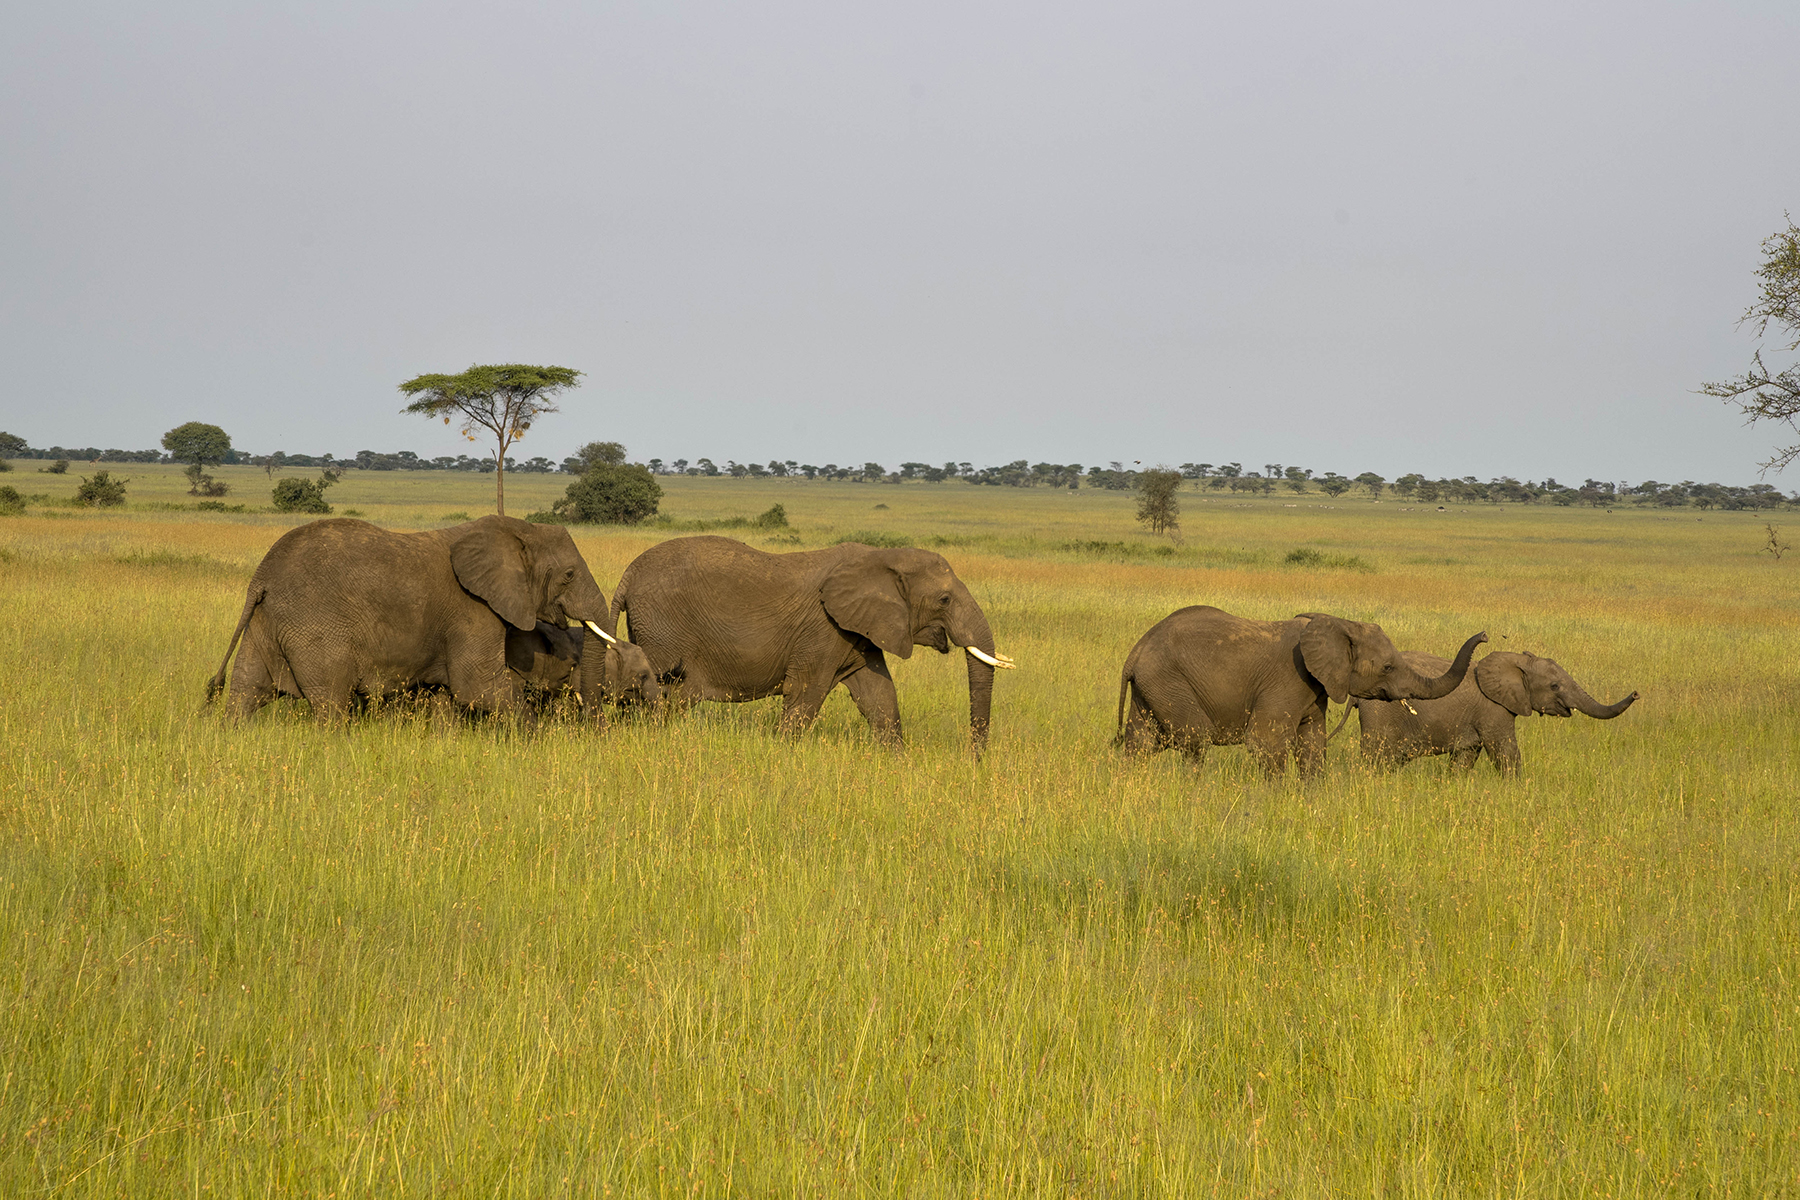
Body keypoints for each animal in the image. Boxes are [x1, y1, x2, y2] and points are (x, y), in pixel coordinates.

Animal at [206, 518, 619, 723]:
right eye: (568, 575)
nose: (593, 729)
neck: (513, 530)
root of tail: (261, 578)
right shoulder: (473, 609)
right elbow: (478, 687)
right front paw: (535, 735)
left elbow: (451, 696)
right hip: (315, 627)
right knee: (330, 701)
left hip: (268, 621)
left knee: (247, 690)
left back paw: (233, 735)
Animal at [612, 536, 1015, 744]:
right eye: (944, 600)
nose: (976, 761)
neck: (881, 557)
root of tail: (627, 575)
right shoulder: (823, 629)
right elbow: (805, 693)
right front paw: (780, 753)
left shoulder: (858, 630)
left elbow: (879, 696)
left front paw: (897, 763)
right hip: (662, 628)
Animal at [1108, 611, 1490, 780]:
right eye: (1387, 667)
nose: (1486, 635)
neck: (1336, 623)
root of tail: (1135, 651)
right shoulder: (1288, 680)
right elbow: (1266, 742)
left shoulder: (1317, 688)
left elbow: (1313, 743)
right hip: (1170, 681)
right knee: (1194, 740)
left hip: (1151, 688)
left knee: (1141, 743)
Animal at [1339, 651, 1648, 773]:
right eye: (1554, 685)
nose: (1636, 693)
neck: (1517, 661)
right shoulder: (1494, 711)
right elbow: (1506, 753)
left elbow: (1463, 759)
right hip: (1381, 715)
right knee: (1377, 758)